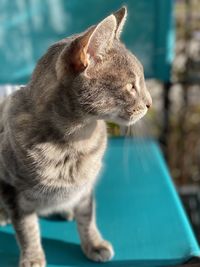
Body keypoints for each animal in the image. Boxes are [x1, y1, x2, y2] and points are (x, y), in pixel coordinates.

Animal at [0, 6, 152, 267]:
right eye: (132, 86)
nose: (150, 103)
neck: (74, 142)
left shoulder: (86, 186)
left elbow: (87, 217)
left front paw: (94, 243)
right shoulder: (11, 189)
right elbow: (26, 229)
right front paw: (32, 256)